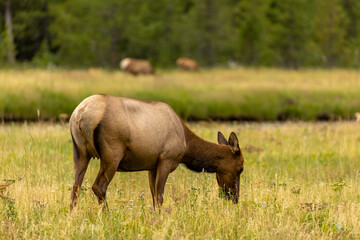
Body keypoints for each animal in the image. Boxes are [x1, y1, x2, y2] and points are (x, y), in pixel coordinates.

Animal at [69, 94, 245, 211]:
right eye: (241, 167)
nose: (235, 197)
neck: (187, 145)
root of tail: (80, 114)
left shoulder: (151, 166)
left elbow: (153, 196)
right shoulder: (166, 159)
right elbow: (160, 196)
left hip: (80, 153)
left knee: (75, 187)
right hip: (112, 155)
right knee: (98, 187)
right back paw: (108, 215)